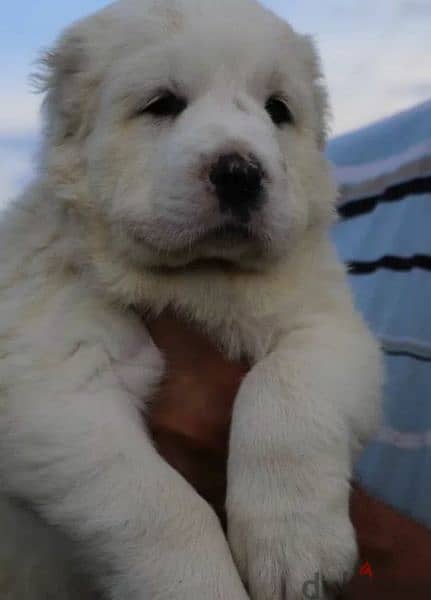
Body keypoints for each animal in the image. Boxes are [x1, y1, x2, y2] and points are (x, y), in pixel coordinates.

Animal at [0, 1, 384, 600]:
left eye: (278, 110)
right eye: (162, 104)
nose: (241, 173)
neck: (200, 278)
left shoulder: (330, 329)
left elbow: (284, 394)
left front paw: (294, 545)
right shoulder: (55, 386)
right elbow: (154, 503)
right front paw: (200, 580)